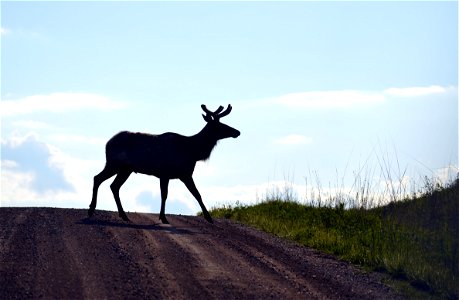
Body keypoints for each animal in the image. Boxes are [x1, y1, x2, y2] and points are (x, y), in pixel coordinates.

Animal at [89, 104, 241, 224]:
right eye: (219, 125)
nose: (237, 132)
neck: (193, 152)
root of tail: (107, 143)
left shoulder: (169, 175)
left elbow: (168, 194)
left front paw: (163, 217)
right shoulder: (179, 173)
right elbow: (194, 194)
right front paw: (208, 218)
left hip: (126, 169)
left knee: (113, 186)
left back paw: (123, 215)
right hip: (114, 163)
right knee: (98, 178)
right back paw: (91, 209)